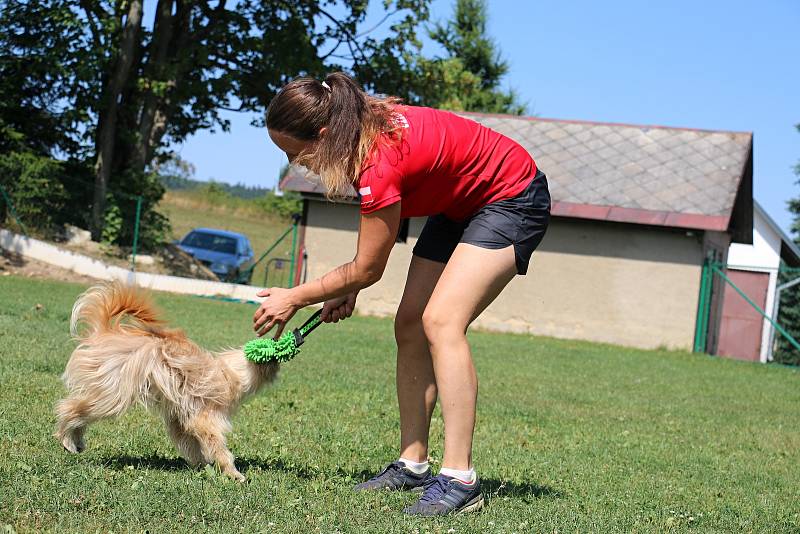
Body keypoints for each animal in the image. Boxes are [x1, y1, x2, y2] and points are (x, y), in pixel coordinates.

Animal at [53, 282, 278, 484]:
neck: (232, 371)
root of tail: (106, 333)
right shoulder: (207, 417)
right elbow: (217, 445)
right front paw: (233, 473)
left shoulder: (182, 417)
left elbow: (190, 442)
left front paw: (203, 466)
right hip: (112, 392)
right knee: (70, 408)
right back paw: (67, 438)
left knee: (80, 413)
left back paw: (76, 440)